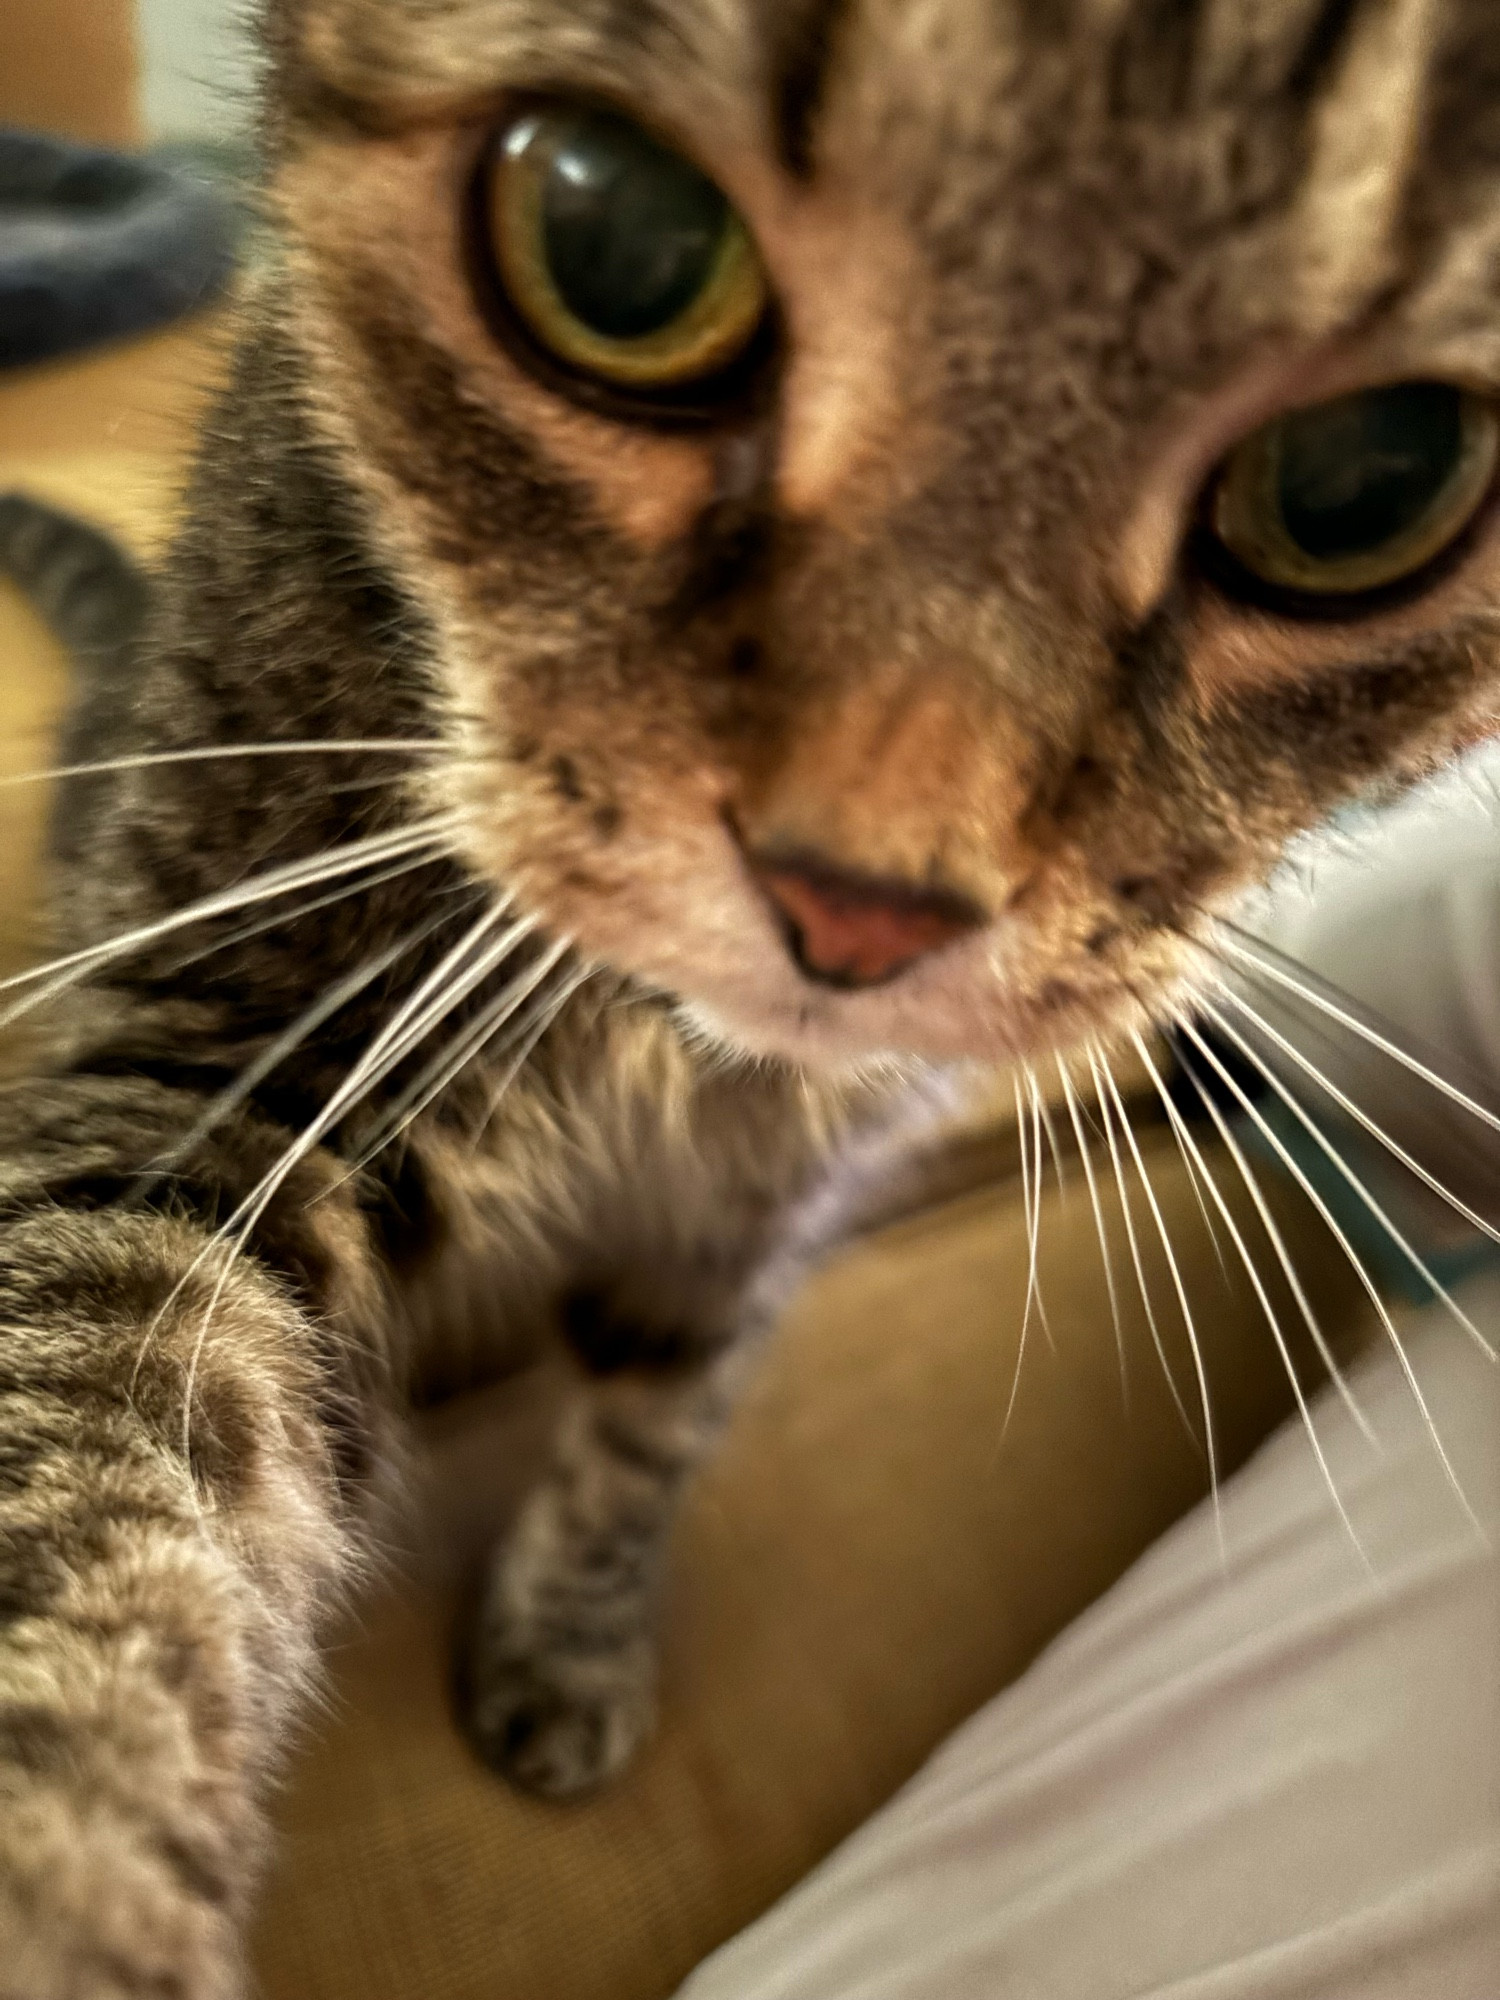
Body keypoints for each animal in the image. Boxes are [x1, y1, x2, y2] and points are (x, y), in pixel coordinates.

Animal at [2, 0, 1500, 1992]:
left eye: (1367, 483)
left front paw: (572, 1632)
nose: (856, 904)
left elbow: (657, 1419)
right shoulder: (219, 1034)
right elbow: (114, 1441)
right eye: (614, 243)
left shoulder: (769, 1192)